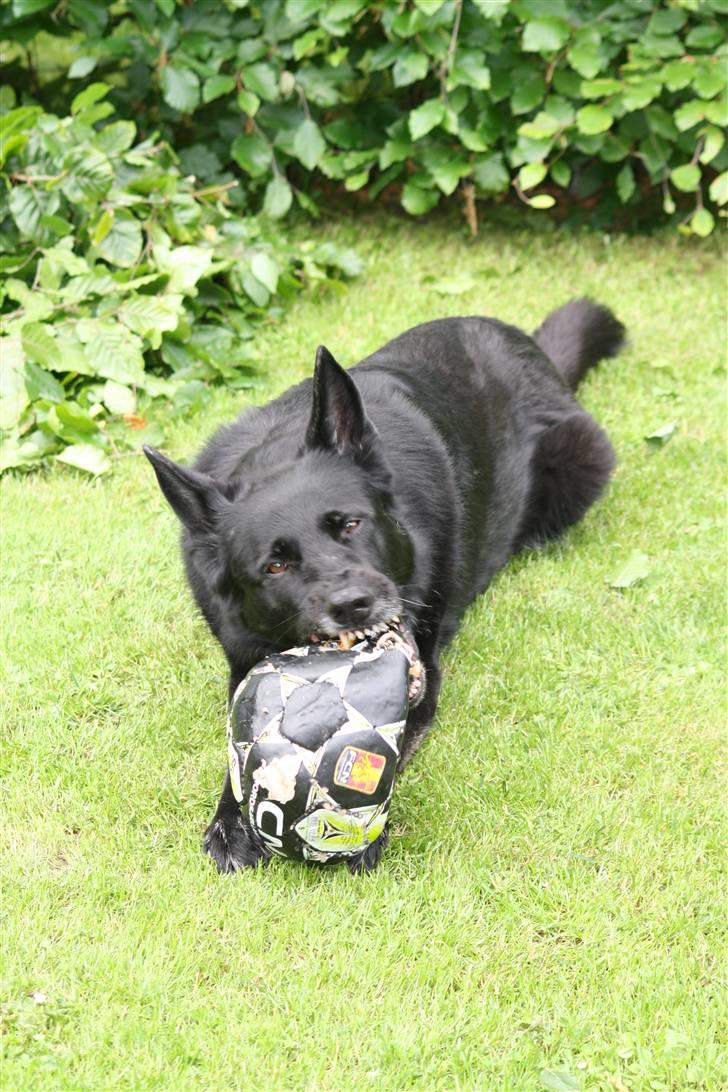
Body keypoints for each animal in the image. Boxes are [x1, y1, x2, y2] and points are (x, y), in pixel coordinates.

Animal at [145, 294, 624, 873]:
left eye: (350, 524)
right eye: (275, 566)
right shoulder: (243, 667)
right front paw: (231, 817)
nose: (354, 604)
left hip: (581, 458)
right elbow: (243, 748)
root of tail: (533, 347)